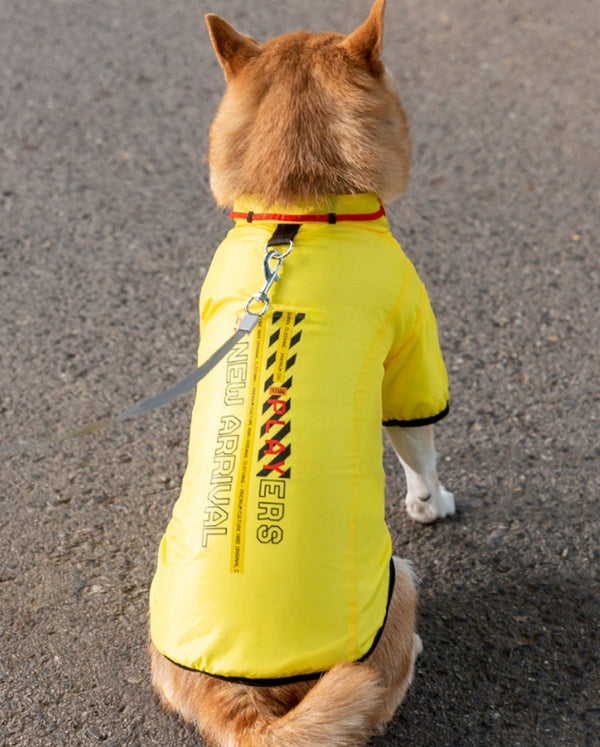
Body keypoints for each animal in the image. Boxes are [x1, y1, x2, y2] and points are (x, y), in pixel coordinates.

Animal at [150, 2, 454, 744]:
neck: (298, 211)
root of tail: (242, 699)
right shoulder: (414, 351)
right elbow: (420, 449)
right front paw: (432, 503)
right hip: (398, 582)